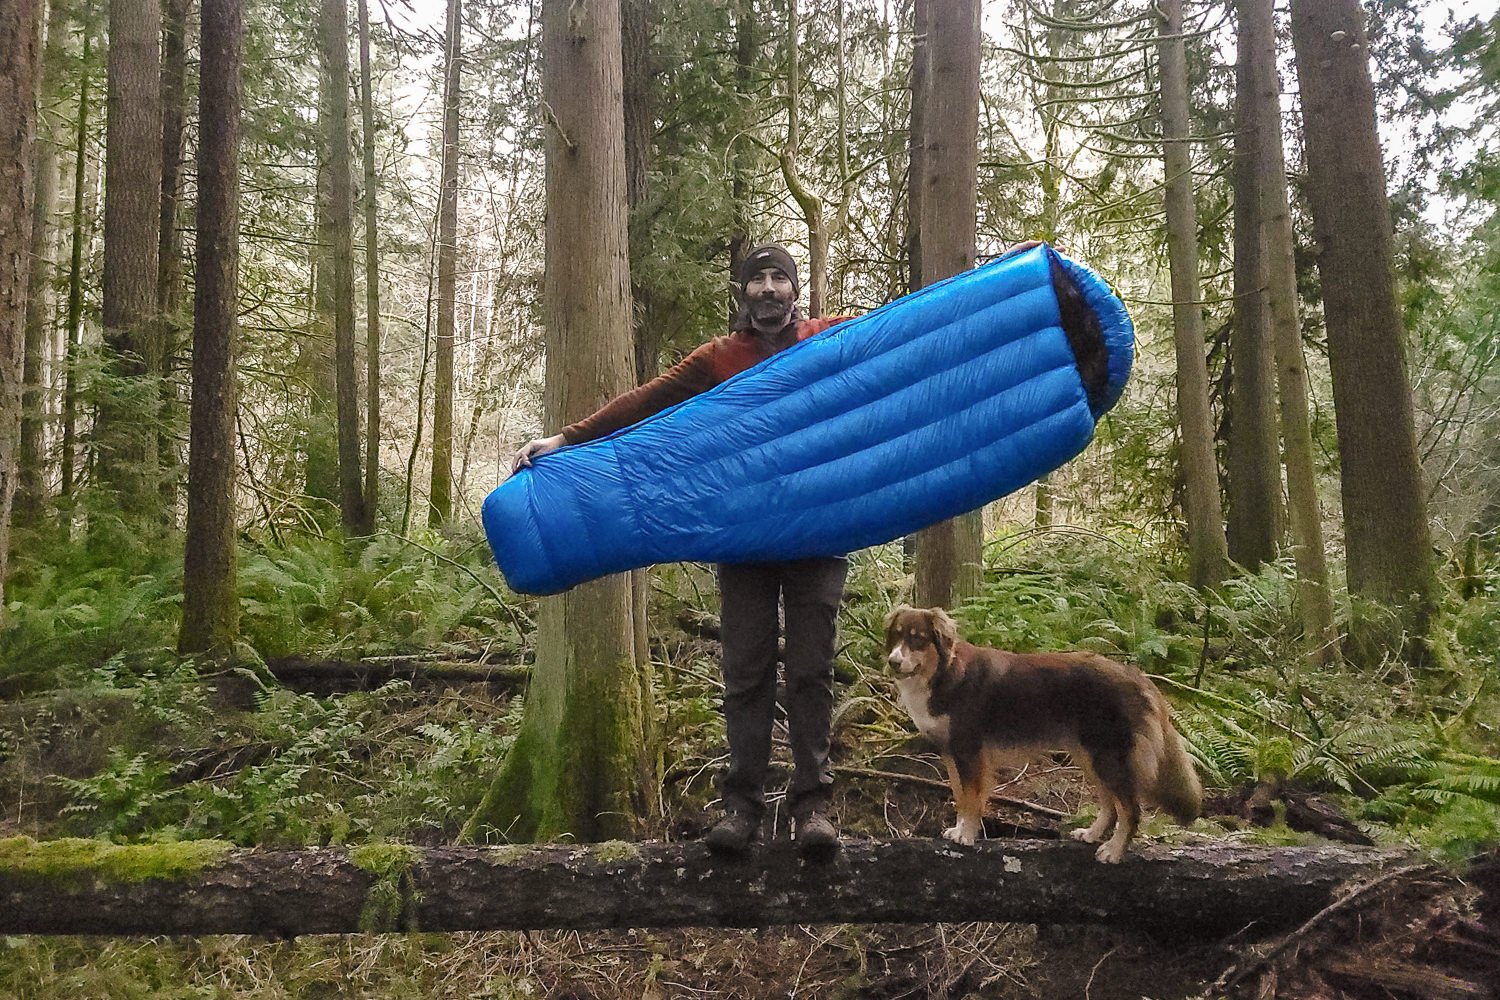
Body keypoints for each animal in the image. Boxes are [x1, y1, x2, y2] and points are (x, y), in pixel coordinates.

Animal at [882, 605, 1200, 863]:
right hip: (1089, 756)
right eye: (896, 636)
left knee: (1131, 810)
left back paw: (1114, 851)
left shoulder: (970, 751)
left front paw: (967, 835)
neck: (944, 673)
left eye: (917, 638)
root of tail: (1137, 676)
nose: (893, 661)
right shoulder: (951, 752)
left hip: (1107, 757)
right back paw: (1091, 834)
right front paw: (959, 829)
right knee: (1111, 805)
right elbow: (960, 797)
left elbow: (971, 798)